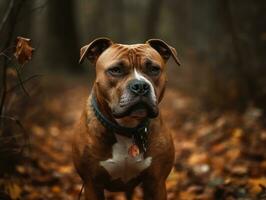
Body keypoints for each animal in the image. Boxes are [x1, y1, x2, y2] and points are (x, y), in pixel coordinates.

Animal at [72, 38, 181, 200]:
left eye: (154, 69)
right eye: (116, 70)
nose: (140, 86)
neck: (127, 129)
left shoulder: (156, 183)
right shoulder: (92, 184)